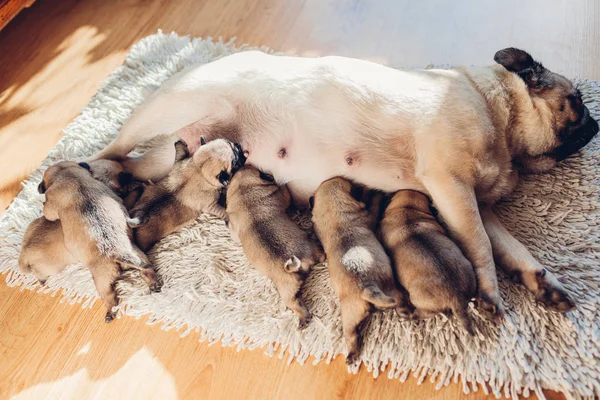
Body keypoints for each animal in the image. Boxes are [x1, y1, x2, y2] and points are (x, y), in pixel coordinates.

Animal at [36, 160, 161, 322]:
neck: (68, 175)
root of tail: (117, 254)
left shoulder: (51, 204)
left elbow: (48, 210)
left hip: (102, 280)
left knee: (110, 298)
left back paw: (110, 312)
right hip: (138, 254)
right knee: (147, 269)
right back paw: (153, 283)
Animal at [310, 177, 412, 364]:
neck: (335, 215)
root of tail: (367, 287)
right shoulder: (369, 214)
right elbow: (374, 206)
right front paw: (377, 195)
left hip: (349, 316)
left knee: (351, 335)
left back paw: (351, 355)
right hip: (392, 290)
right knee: (400, 302)